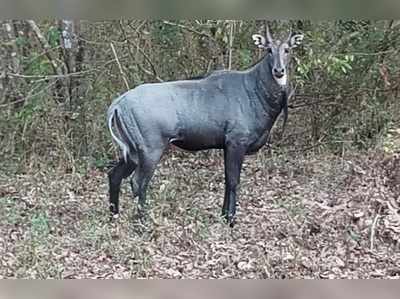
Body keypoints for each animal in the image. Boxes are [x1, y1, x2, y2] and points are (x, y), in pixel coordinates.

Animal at [106, 26, 304, 227]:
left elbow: (227, 180)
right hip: (150, 149)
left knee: (114, 175)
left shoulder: (226, 146)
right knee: (138, 182)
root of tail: (118, 104)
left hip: (132, 151)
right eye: (269, 50)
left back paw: (114, 217)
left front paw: (224, 215)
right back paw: (142, 222)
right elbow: (234, 181)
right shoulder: (236, 142)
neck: (256, 91)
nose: (278, 71)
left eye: (287, 49)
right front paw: (231, 220)